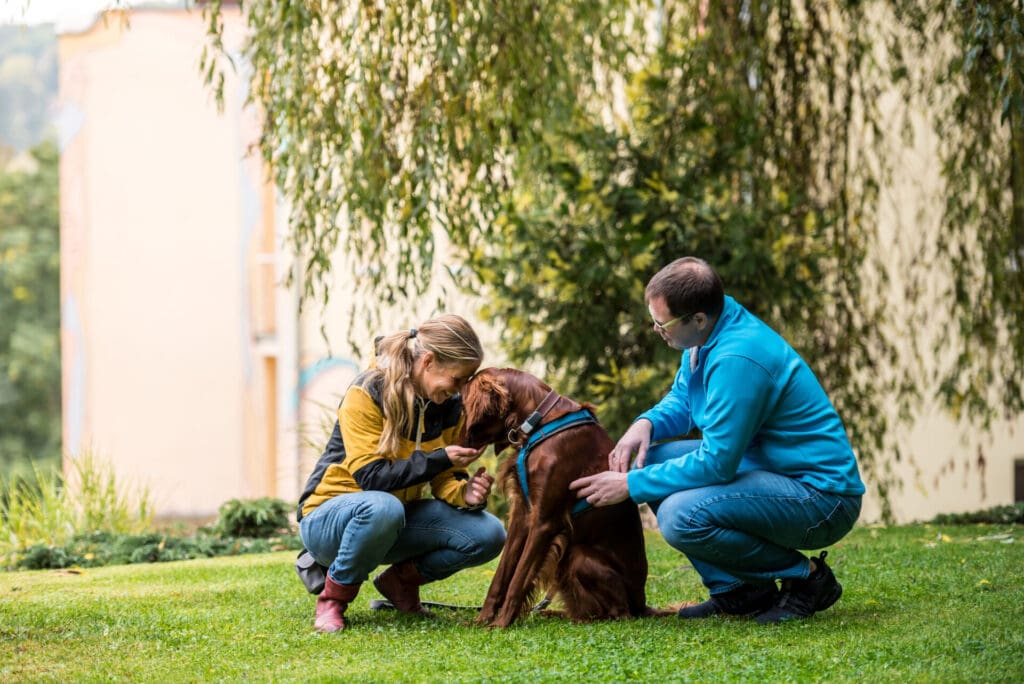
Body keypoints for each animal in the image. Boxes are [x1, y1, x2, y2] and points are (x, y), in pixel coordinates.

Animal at [462, 368, 655, 626]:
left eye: (461, 402)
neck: (539, 422)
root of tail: (642, 604)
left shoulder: (544, 521)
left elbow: (518, 578)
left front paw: (501, 623)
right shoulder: (523, 515)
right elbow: (502, 575)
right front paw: (483, 620)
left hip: (579, 556)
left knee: (620, 613)